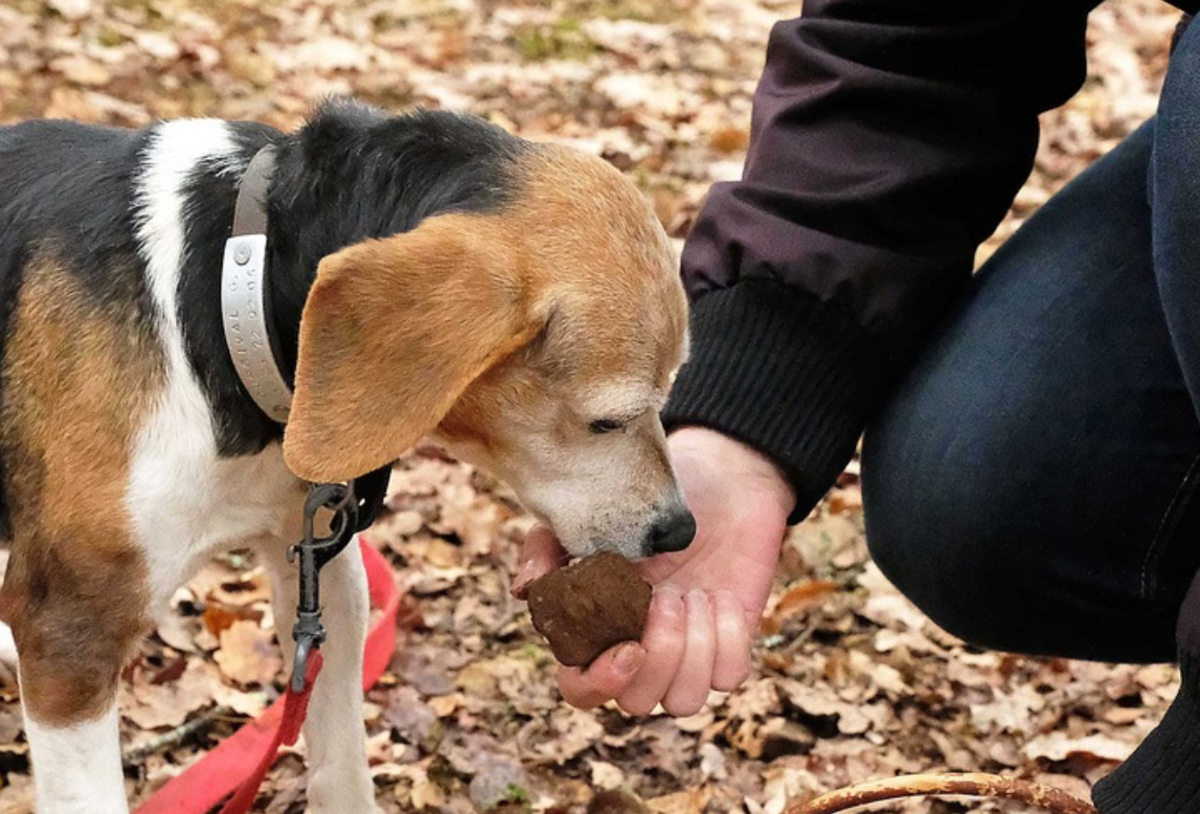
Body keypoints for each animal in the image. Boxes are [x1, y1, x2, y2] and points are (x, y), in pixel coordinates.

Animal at [0, 102, 696, 814]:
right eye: (606, 420)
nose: (680, 531)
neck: (232, 286)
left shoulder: (321, 574)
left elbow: (341, 762)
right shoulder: (71, 638)